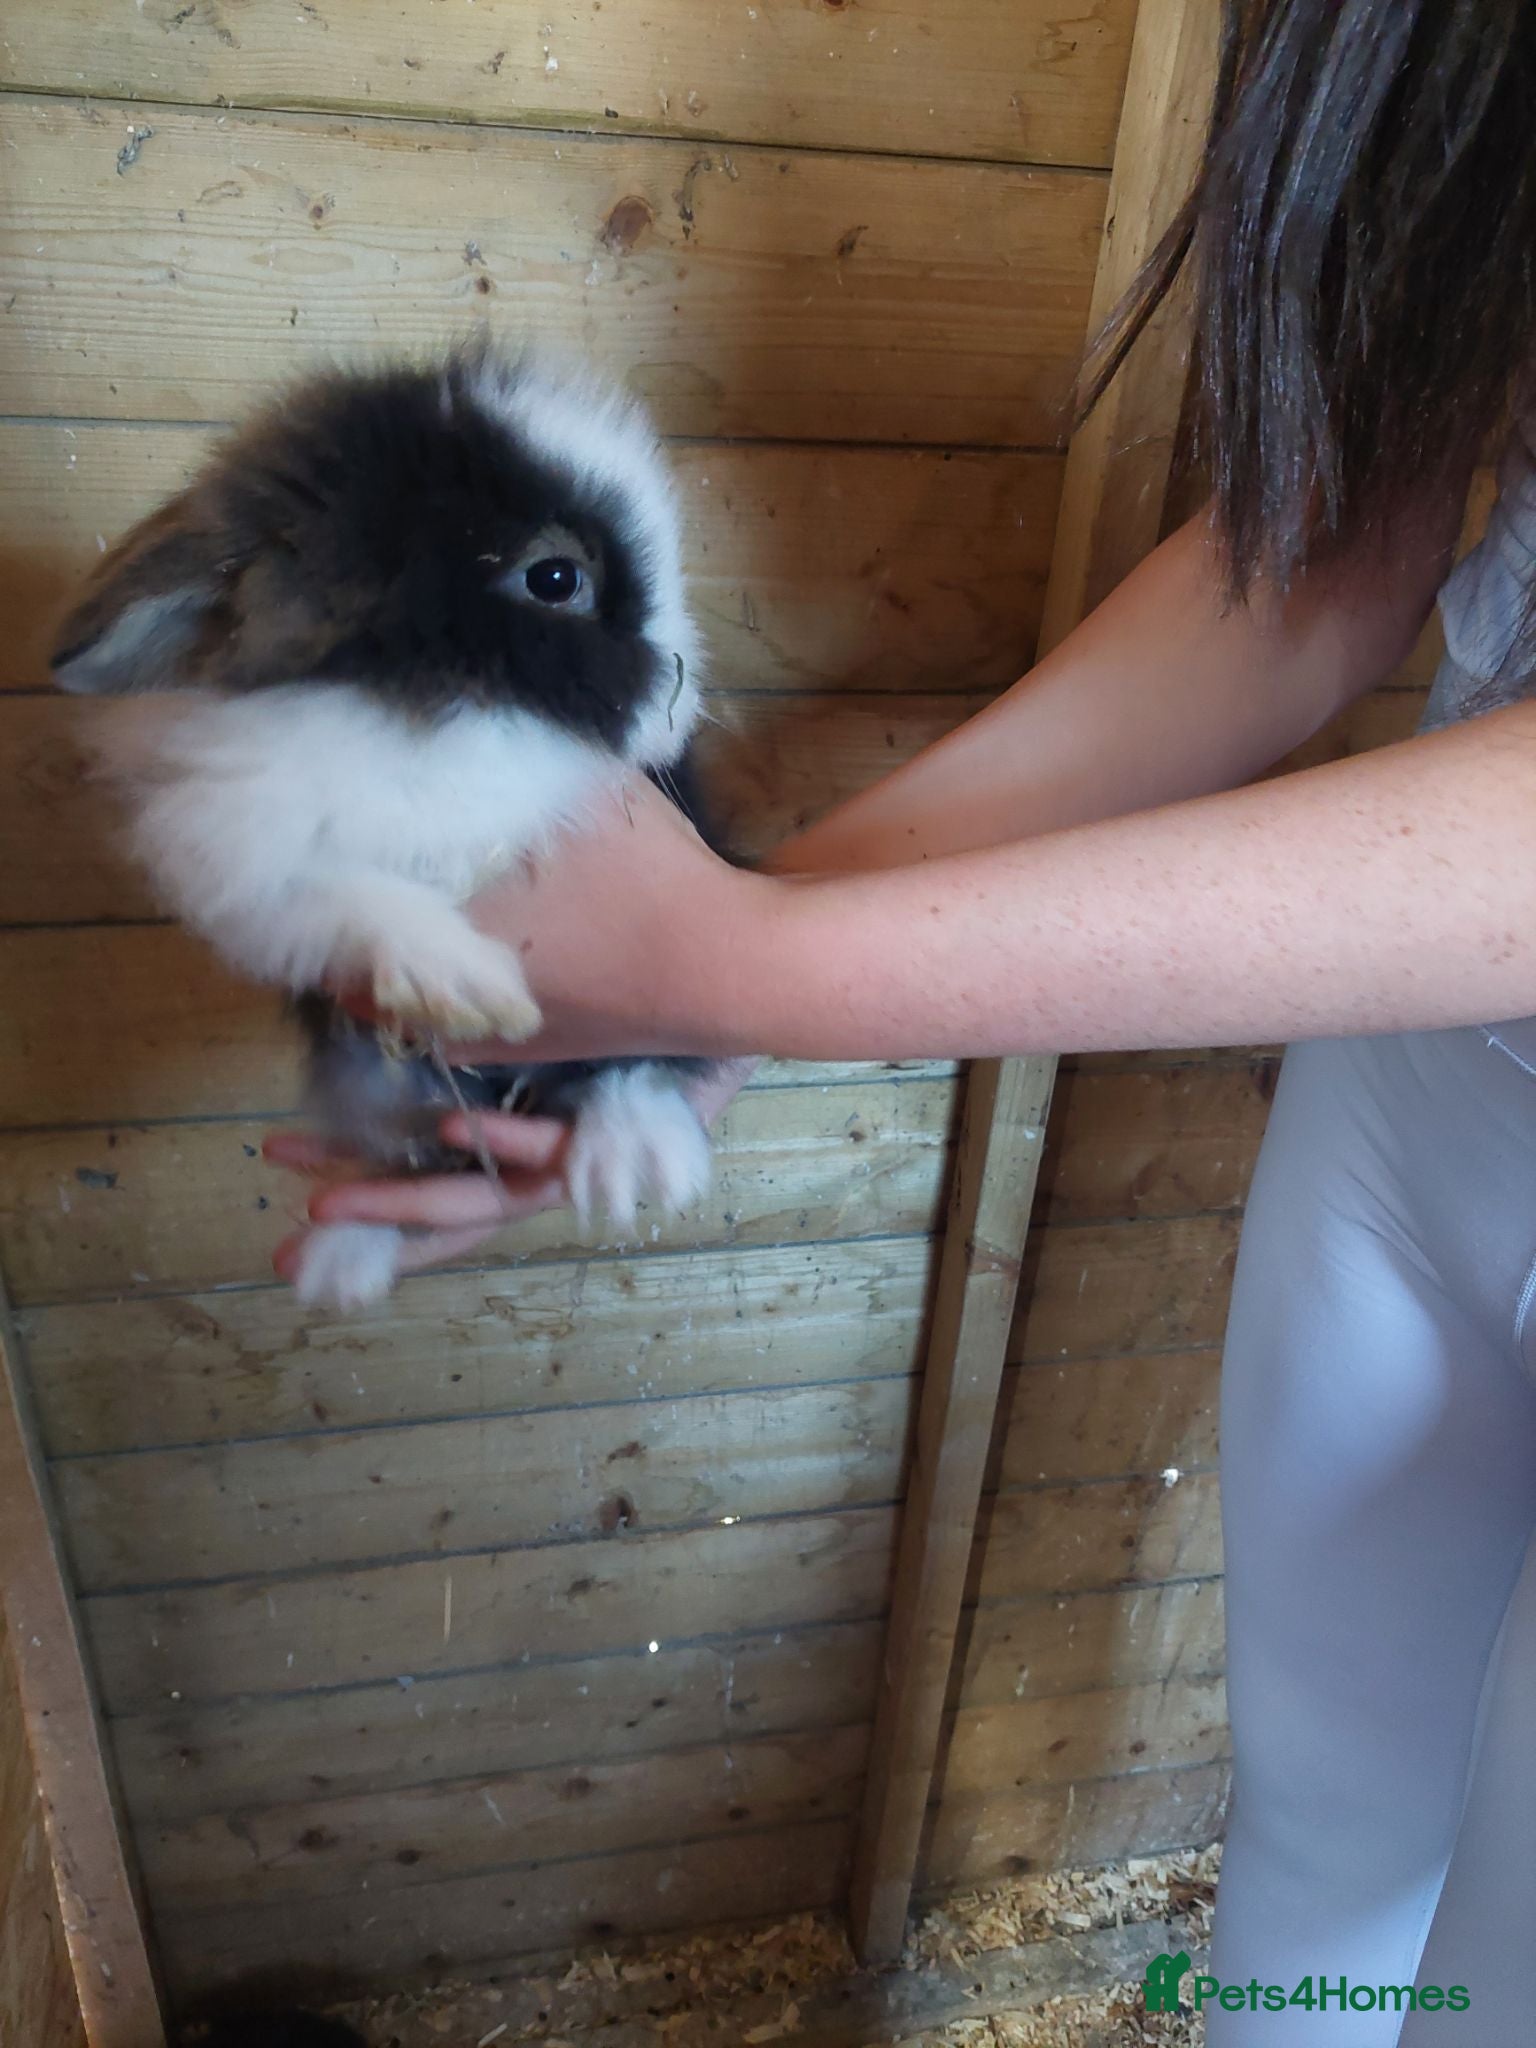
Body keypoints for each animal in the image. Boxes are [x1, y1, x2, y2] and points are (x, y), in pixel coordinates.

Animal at [52, 348, 722, 1311]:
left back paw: (637, 1156)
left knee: (634, 1058)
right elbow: (355, 897)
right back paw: (343, 1262)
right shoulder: (249, 861)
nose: (683, 684)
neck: (433, 711)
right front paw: (470, 983)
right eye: (555, 578)